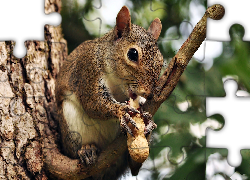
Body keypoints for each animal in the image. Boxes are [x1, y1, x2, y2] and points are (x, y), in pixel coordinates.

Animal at [55, 5, 163, 180]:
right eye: (132, 54)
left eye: (161, 61)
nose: (147, 93)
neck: (117, 84)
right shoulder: (87, 69)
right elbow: (93, 103)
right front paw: (122, 111)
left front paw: (146, 119)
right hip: (71, 126)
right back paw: (87, 150)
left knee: (134, 165)